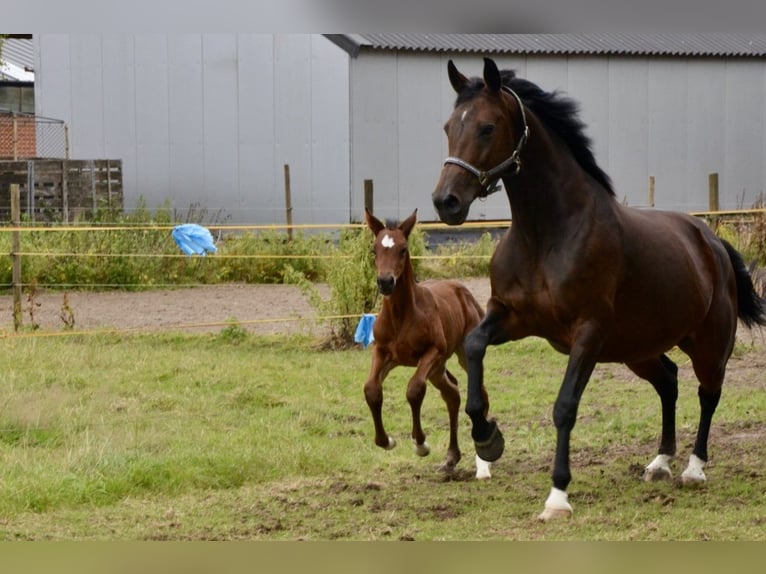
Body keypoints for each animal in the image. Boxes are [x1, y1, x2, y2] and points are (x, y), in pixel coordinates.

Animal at [364, 209, 492, 480]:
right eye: (374, 250)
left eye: (403, 249)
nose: (385, 282)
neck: (402, 315)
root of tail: (462, 290)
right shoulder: (382, 352)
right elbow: (371, 390)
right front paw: (386, 441)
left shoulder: (433, 352)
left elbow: (414, 389)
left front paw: (421, 444)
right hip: (437, 368)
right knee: (452, 394)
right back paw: (451, 458)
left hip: (460, 355)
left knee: (480, 394)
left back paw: (483, 463)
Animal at [432, 57, 766, 520]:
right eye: (449, 126)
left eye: (486, 127)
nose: (445, 202)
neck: (547, 234)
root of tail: (712, 241)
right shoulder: (511, 317)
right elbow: (474, 346)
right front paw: (488, 438)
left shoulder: (586, 334)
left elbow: (564, 407)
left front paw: (558, 496)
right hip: (637, 349)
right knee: (669, 382)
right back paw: (659, 462)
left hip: (709, 342)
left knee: (708, 392)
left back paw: (693, 469)